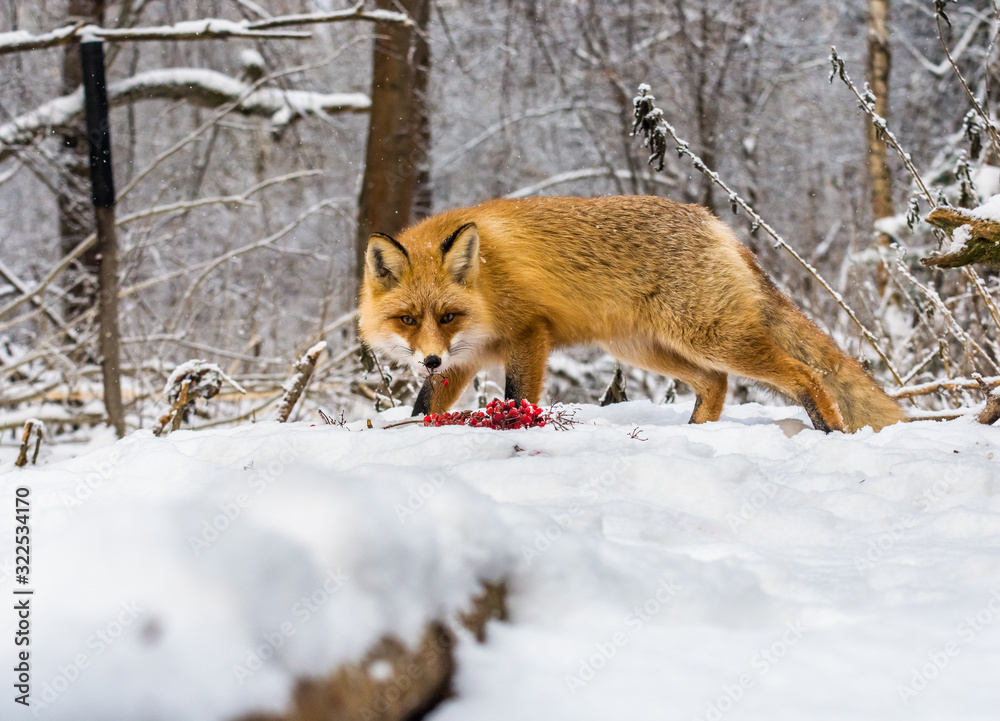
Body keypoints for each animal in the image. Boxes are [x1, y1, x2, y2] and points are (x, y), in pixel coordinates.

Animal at [358, 195, 905, 433]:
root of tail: (717, 225)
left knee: (806, 374)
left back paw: (828, 428)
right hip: (646, 348)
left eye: (448, 316)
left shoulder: (529, 335)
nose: (429, 359)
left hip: (710, 337)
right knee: (716, 384)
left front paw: (513, 429)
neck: (488, 287)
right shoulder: (463, 361)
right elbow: (423, 408)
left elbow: (517, 398)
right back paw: (694, 433)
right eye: (408, 320)